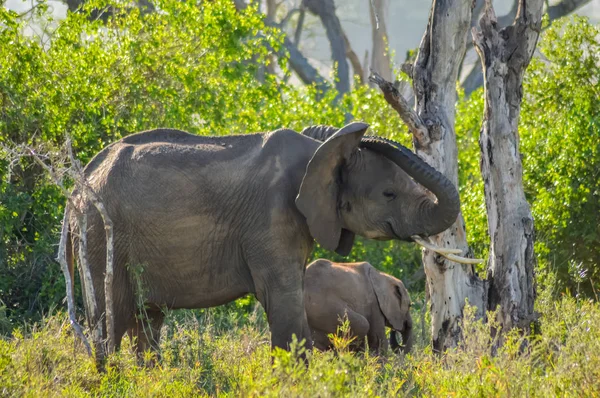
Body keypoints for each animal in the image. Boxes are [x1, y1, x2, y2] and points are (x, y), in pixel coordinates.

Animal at [64, 121, 460, 364]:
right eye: (389, 194)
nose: (365, 131)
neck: (319, 152)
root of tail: (78, 187)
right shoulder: (272, 217)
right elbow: (284, 301)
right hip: (100, 237)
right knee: (109, 324)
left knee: (148, 323)